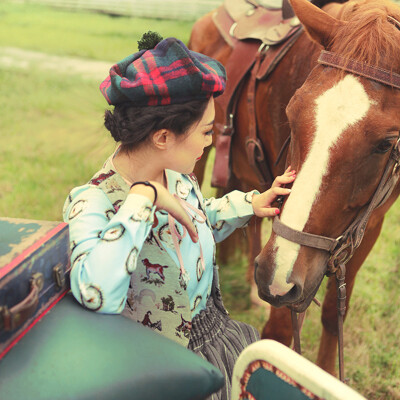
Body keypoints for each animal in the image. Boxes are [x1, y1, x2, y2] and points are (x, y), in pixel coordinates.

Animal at [189, 0, 400, 376]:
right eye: (291, 112)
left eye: (386, 143)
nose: (274, 278)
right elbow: (280, 330)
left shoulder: (368, 226)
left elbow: (333, 314)